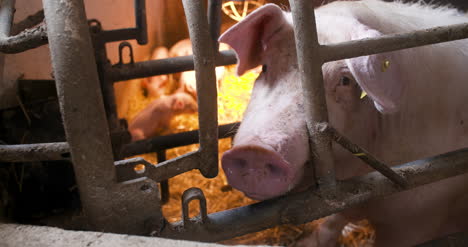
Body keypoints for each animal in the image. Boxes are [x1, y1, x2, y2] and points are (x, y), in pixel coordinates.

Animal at [220, 0, 468, 246]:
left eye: (345, 81)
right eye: (265, 67)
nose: (255, 150)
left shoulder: (416, 217)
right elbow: (333, 218)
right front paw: (307, 242)